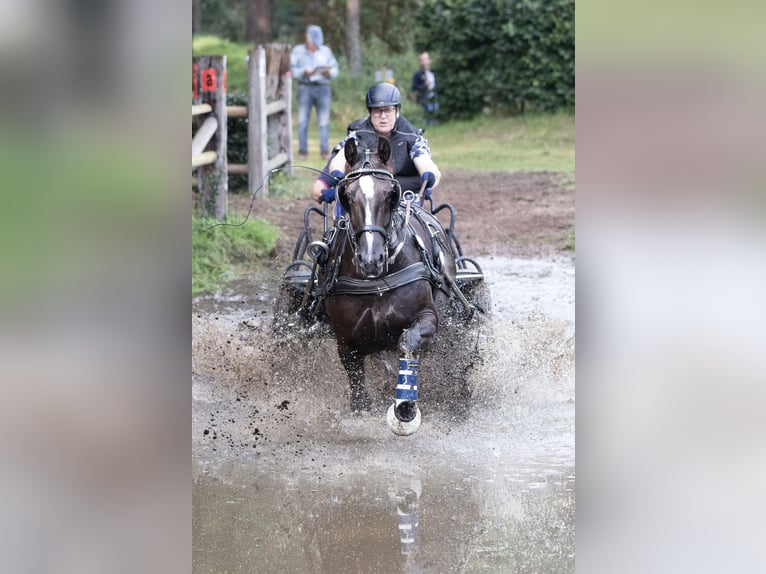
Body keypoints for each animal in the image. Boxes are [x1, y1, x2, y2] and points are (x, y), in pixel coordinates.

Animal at [278, 135, 486, 434]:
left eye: (391, 194)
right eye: (346, 195)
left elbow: (409, 343)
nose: (370, 259)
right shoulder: (345, 338)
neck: (374, 282)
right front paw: (363, 409)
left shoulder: (428, 317)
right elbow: (357, 386)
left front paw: (405, 407)